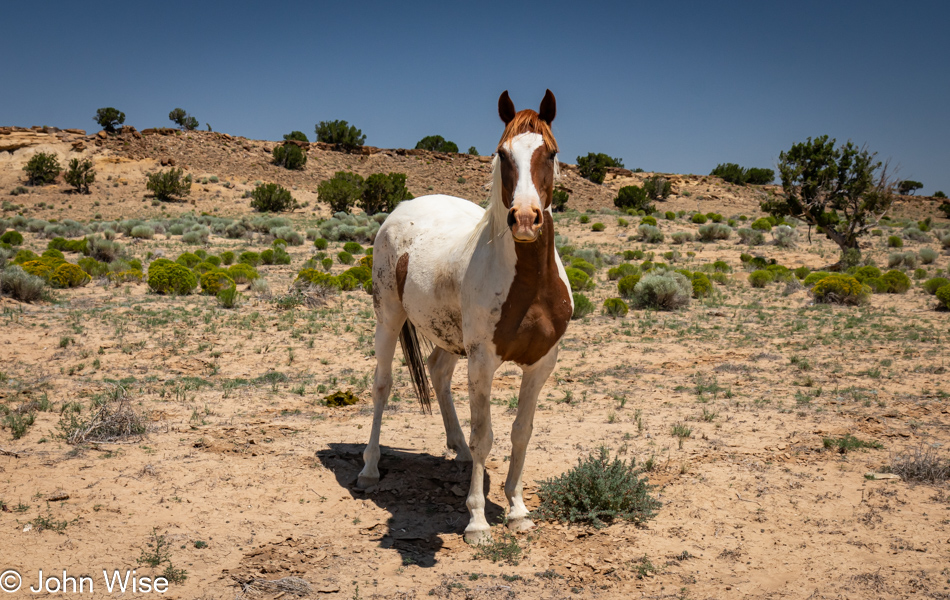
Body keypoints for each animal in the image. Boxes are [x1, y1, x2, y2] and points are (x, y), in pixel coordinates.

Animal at [358, 89, 572, 544]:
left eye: (550, 152)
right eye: (502, 153)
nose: (525, 219)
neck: (528, 284)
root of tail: (401, 208)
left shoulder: (541, 363)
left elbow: (521, 432)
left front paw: (517, 509)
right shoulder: (483, 362)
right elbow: (484, 436)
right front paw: (476, 520)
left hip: (448, 336)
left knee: (438, 370)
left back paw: (453, 446)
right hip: (388, 319)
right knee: (382, 386)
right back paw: (369, 468)